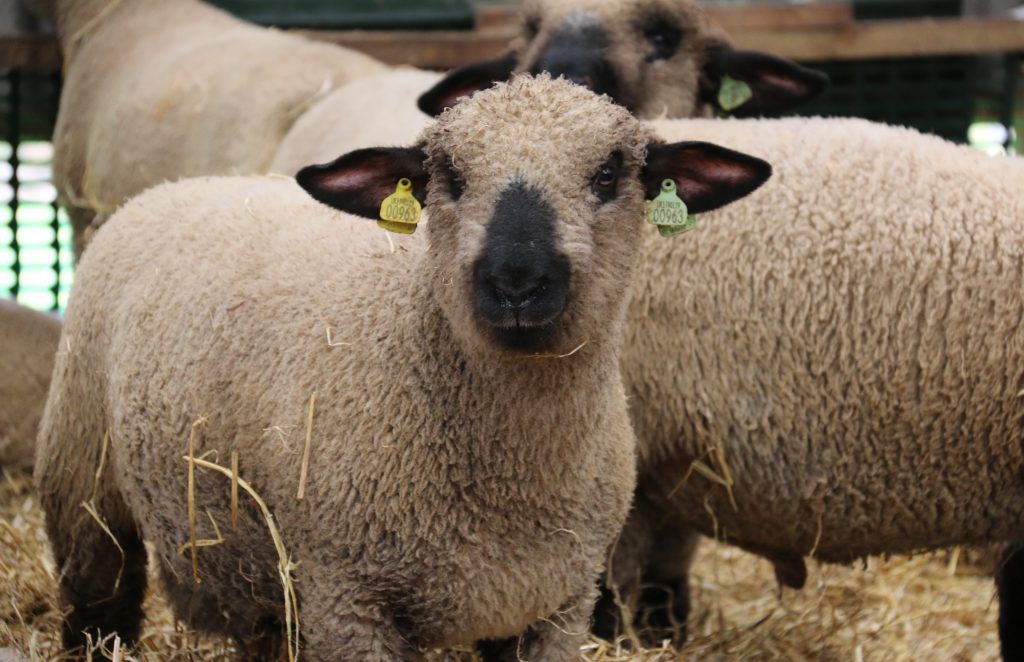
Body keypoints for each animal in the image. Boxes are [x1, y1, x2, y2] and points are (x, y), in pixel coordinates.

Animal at [34, 75, 772, 660]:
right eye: (448, 176)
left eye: (611, 173)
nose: (517, 281)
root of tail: (177, 185)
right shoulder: (347, 600)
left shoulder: (556, 605)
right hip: (84, 484)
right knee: (98, 605)